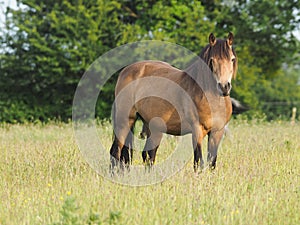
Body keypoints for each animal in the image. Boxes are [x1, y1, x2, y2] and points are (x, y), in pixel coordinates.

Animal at [109, 32, 238, 171]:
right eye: (212, 60)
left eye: (232, 59)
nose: (224, 87)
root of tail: (125, 71)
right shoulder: (197, 130)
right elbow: (198, 162)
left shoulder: (217, 132)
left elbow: (212, 163)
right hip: (125, 121)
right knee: (116, 151)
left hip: (153, 126)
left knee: (148, 155)